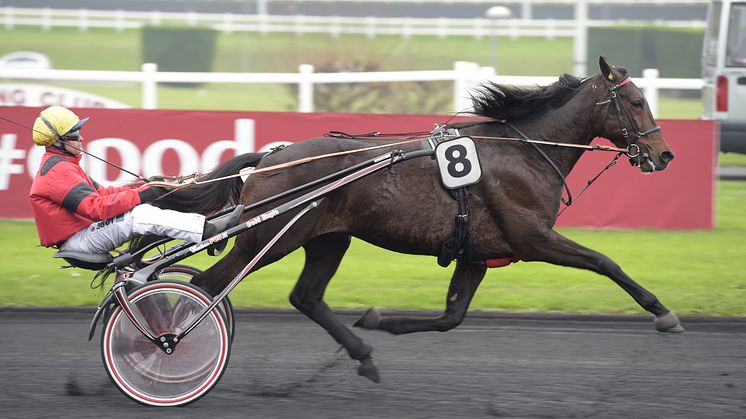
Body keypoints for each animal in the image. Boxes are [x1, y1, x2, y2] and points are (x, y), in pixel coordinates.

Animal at [161, 57, 680, 386]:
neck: (527, 150)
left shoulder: (479, 252)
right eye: (636, 102)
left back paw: (363, 355)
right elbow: (604, 262)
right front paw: (662, 312)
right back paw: (171, 345)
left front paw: (381, 321)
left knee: (305, 296)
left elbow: (451, 317)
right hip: (266, 238)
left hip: (327, 239)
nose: (663, 154)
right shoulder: (532, 237)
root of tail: (271, 157)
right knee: (205, 286)